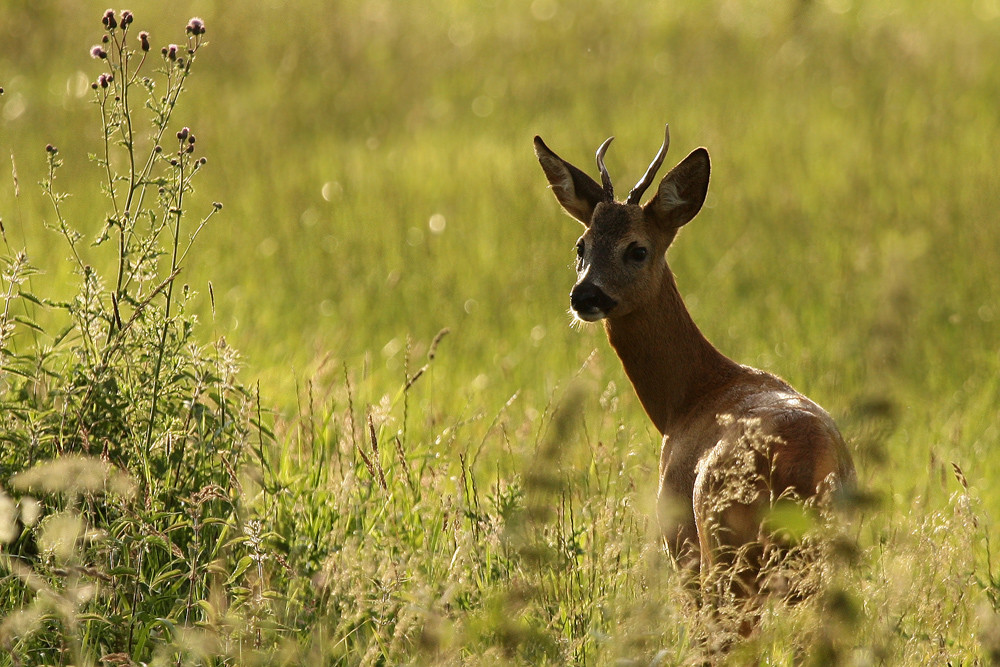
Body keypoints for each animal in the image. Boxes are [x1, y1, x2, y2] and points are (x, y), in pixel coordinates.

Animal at [536, 125, 856, 596]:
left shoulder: (678, 535)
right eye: (581, 245)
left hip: (720, 549)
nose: (585, 295)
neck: (690, 396)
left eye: (637, 249)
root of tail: (799, 471)